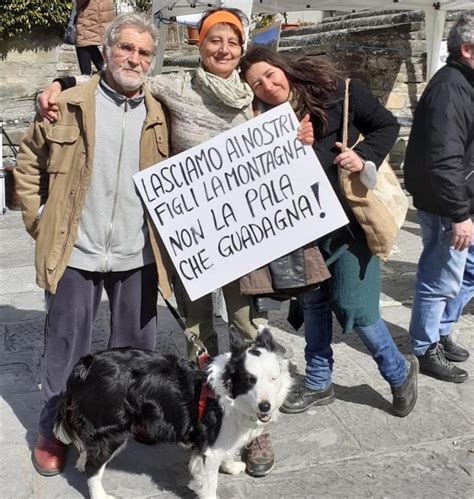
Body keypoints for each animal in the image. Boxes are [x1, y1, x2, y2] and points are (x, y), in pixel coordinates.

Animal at [52, 328, 292, 499]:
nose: (265, 407)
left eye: (273, 378)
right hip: (113, 429)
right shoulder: (210, 448)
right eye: (250, 380)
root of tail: (87, 364)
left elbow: (227, 452)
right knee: (94, 467)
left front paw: (231, 465)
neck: (229, 391)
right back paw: (99, 493)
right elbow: (210, 482)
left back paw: (82, 459)